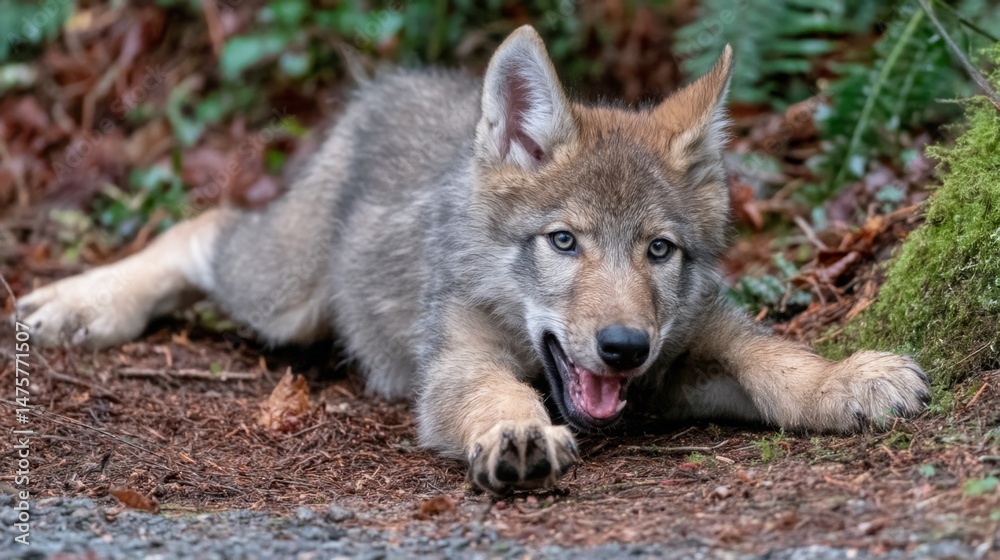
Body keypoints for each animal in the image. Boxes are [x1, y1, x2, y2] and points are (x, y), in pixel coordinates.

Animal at [17, 26, 930, 493]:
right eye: (563, 242)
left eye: (660, 250)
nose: (623, 349)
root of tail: (390, 85)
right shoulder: (458, 366)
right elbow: (496, 394)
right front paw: (515, 431)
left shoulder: (689, 357)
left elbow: (776, 358)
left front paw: (847, 381)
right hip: (282, 295)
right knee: (203, 223)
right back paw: (76, 303)